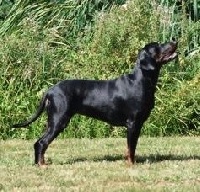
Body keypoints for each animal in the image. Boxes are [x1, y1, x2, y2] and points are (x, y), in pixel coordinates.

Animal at [12, 39, 177, 166]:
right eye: (157, 45)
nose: (174, 40)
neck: (141, 81)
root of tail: (50, 90)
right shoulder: (133, 123)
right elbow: (131, 148)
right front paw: (131, 165)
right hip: (58, 119)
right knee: (41, 142)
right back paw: (42, 165)